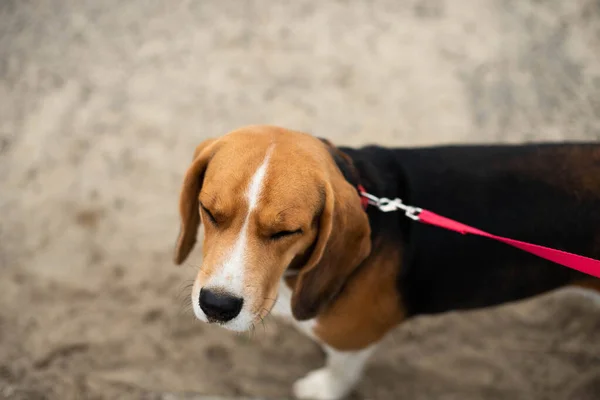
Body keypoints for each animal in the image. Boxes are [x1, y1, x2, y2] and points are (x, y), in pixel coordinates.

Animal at [173, 126, 600, 400]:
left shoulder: (355, 340)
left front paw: (322, 388)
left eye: (286, 232)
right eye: (209, 211)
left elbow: (341, 371)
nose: (217, 306)